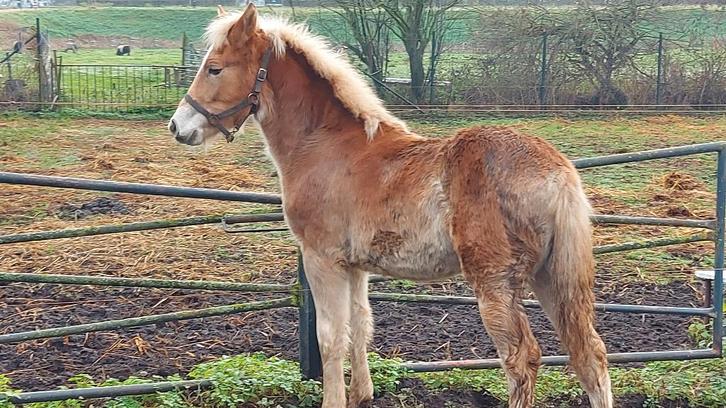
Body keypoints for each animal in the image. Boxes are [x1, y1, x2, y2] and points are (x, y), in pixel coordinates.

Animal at [168, 5, 613, 408]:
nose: (178, 126)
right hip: (551, 277)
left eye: (214, 68)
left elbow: (330, 338)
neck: (325, 144)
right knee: (590, 355)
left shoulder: (321, 258)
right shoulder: (356, 266)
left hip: (496, 283)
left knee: (521, 359)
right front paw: (362, 395)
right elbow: (360, 326)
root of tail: (558, 171)